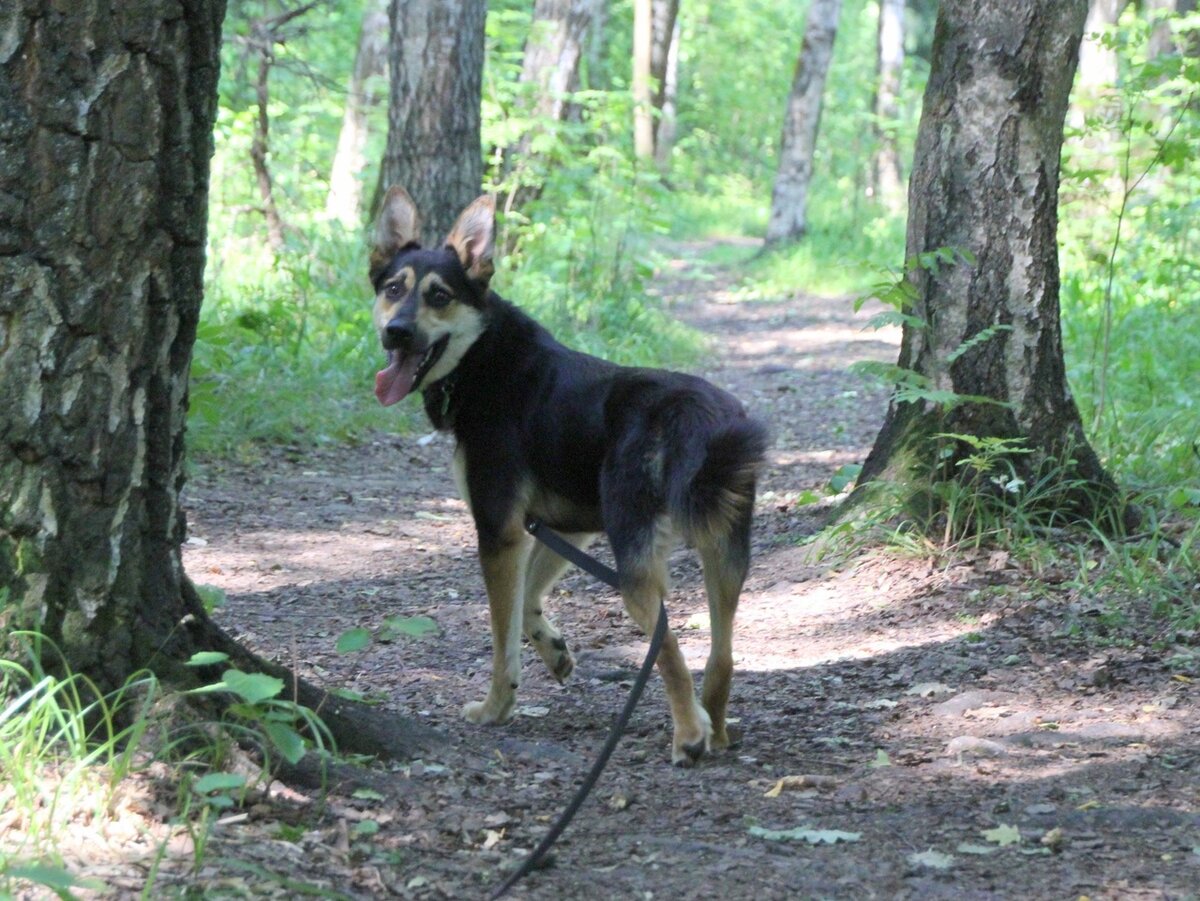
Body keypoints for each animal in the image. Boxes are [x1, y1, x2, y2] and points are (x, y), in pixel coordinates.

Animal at [367, 187, 768, 763]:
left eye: (439, 295)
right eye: (393, 289)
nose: (395, 333)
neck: (483, 357)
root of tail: (697, 418)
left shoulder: (498, 532)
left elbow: (502, 641)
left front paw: (496, 708)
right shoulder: (565, 525)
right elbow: (528, 605)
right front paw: (555, 652)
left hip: (637, 561)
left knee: (668, 644)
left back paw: (689, 735)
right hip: (725, 552)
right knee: (721, 656)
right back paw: (714, 728)